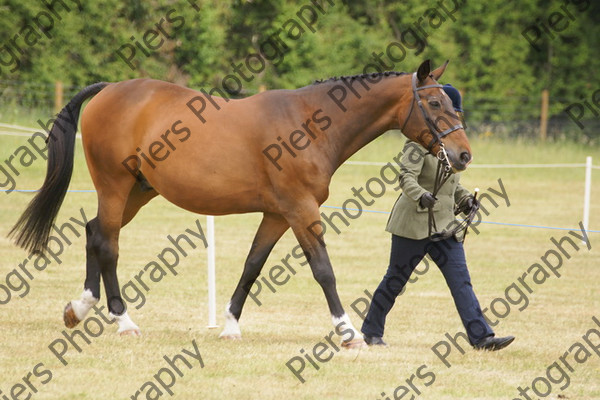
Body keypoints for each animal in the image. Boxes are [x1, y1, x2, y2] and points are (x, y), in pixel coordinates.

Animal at [9, 58, 468, 346]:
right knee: (106, 244)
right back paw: (124, 321)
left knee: (93, 233)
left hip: (138, 192)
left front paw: (230, 326)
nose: (463, 155)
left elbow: (252, 265)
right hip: (115, 187)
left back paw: (80, 308)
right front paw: (347, 332)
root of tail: (111, 90)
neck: (310, 124)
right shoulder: (301, 209)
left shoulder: (277, 214)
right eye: (433, 102)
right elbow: (323, 270)